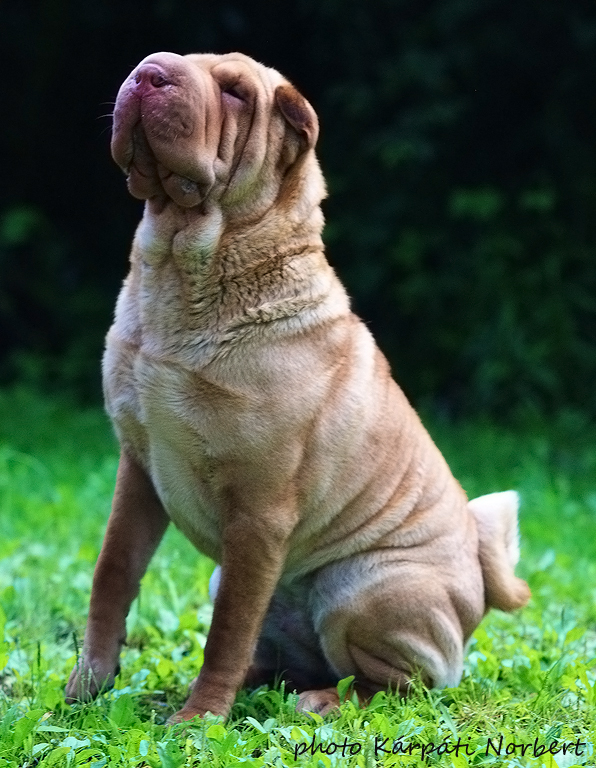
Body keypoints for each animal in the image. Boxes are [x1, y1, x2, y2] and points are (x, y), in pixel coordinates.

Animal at [66, 51, 532, 724]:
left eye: (234, 93)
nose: (149, 70)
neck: (186, 271)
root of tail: (480, 579)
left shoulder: (259, 508)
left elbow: (227, 629)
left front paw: (198, 721)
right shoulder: (138, 469)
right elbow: (113, 576)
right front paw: (86, 690)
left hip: (362, 592)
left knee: (399, 682)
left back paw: (321, 700)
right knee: (279, 655)